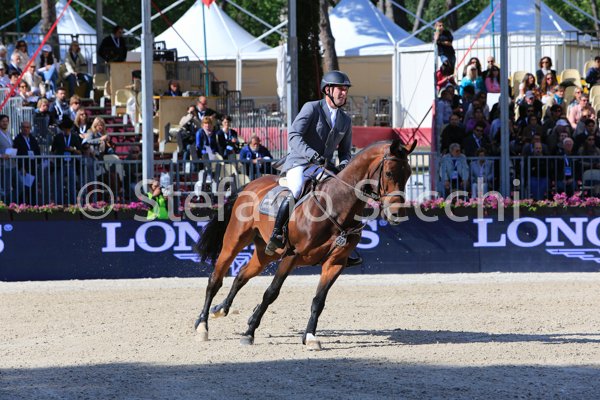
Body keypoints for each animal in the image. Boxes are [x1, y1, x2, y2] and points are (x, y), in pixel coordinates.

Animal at [194, 139, 416, 349]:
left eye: (409, 174)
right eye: (389, 173)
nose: (397, 214)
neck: (336, 206)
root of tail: (250, 185)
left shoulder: (336, 263)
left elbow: (319, 300)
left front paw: (309, 337)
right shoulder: (292, 256)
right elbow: (271, 293)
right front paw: (249, 333)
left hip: (266, 252)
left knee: (241, 276)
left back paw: (221, 309)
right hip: (235, 242)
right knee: (215, 280)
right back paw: (202, 325)